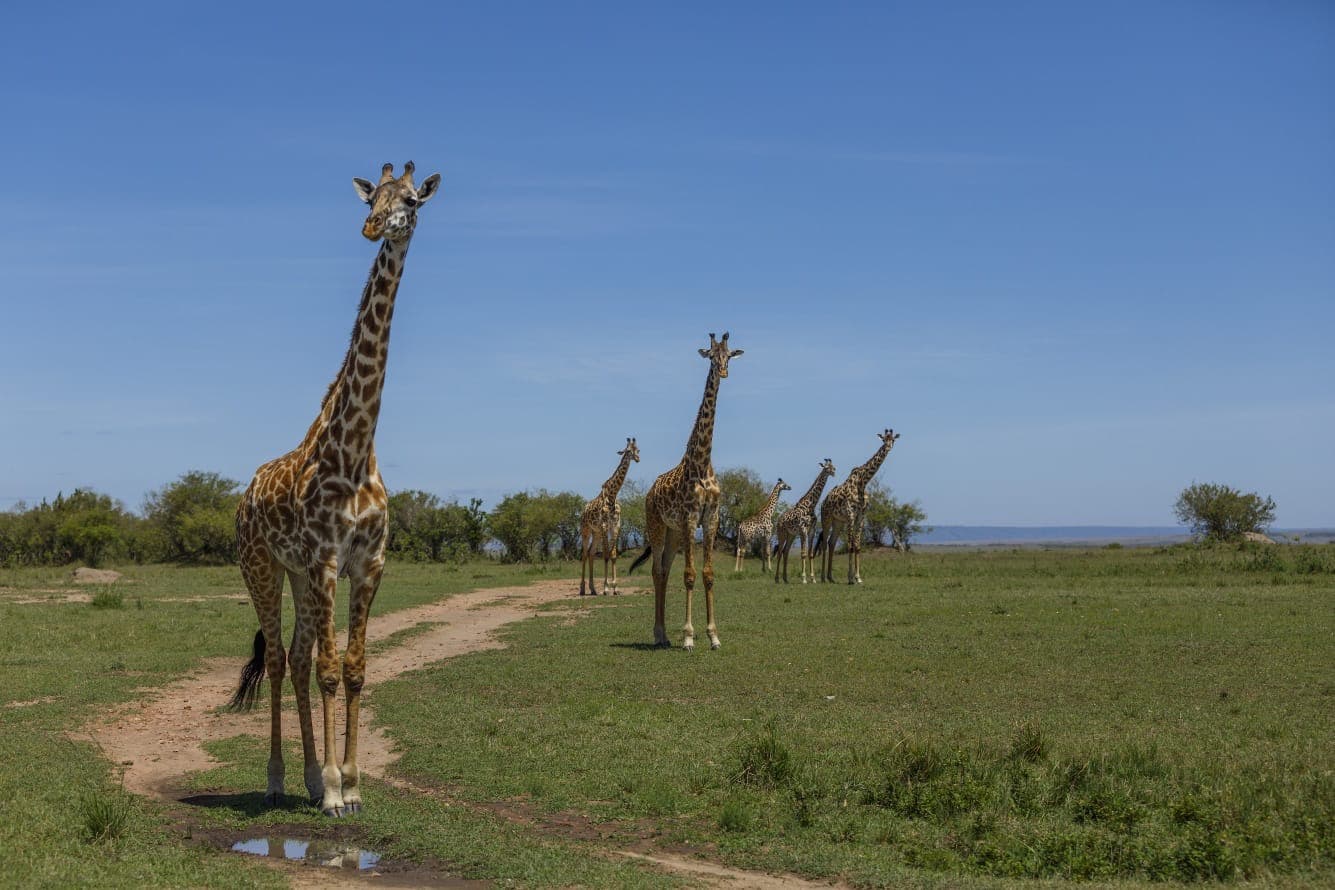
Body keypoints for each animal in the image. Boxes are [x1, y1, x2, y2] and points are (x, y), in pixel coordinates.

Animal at [227, 161, 442, 817]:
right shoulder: (324, 560)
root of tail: (243, 497)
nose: (372, 228)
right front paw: (332, 793)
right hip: (263, 567)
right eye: (372, 199)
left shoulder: (367, 563)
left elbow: (353, 667)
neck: (354, 449)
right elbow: (327, 669)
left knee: (296, 660)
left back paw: (308, 776)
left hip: (297, 576)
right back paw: (279, 779)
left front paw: (350, 782)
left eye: (411, 200)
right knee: (278, 660)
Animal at [578, 437, 640, 596]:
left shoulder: (615, 526)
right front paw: (606, 588)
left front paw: (615, 588)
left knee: (591, 553)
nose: (637, 458)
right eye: (628, 450)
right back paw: (582, 589)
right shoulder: (605, 526)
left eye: (638, 449)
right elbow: (606, 555)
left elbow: (613, 555)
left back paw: (593, 589)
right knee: (584, 554)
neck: (612, 496)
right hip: (586, 530)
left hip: (596, 533)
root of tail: (583, 511)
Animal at [628, 332, 743, 650]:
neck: (702, 463)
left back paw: (665, 634)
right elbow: (690, 575)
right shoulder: (690, 518)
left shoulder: (711, 519)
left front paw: (713, 636)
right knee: (657, 570)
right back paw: (660, 634)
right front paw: (689, 637)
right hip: (657, 526)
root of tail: (649, 492)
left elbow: (708, 574)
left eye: (729, 356)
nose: (723, 372)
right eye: (711, 357)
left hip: (673, 533)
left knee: (665, 571)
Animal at [818, 429, 900, 584]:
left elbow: (857, 545)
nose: (888, 448)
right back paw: (822, 577)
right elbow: (850, 545)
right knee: (824, 543)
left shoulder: (861, 516)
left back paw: (831, 577)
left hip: (838, 522)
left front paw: (858, 577)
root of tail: (824, 501)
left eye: (893, 440)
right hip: (826, 518)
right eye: (883, 440)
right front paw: (850, 578)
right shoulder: (851, 514)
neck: (863, 482)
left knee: (832, 543)